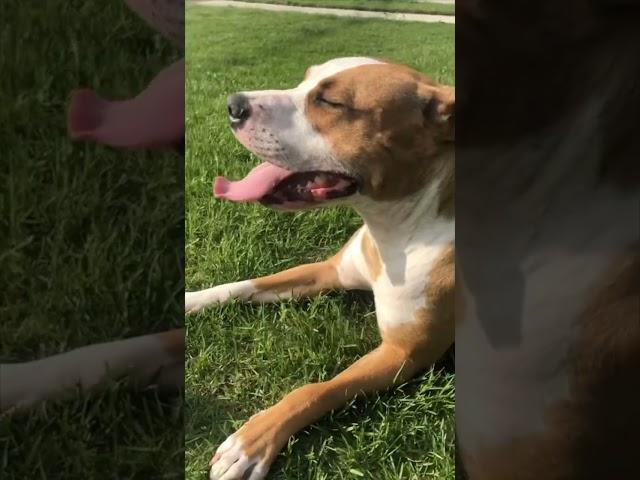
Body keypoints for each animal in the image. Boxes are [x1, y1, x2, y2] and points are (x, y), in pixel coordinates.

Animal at [184, 58, 456, 480]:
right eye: (305, 79)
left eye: (330, 102)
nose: (233, 104)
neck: (397, 232)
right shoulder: (327, 271)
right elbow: (244, 284)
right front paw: (188, 301)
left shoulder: (403, 355)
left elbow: (315, 390)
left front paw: (252, 442)